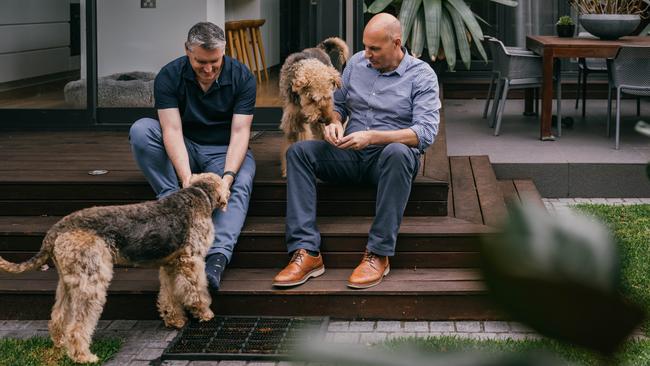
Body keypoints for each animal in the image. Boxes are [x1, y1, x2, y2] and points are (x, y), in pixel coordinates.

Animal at [0, 174, 228, 364]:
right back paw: (83, 356)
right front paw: (205, 313)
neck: (199, 194)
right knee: (77, 326)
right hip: (92, 281)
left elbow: (169, 296)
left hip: (68, 282)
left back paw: (60, 343)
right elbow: (197, 291)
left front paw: (175, 320)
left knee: (58, 316)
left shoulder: (170, 264)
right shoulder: (191, 260)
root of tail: (54, 232)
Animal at [278, 36, 350, 177]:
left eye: (329, 97)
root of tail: (320, 47)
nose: (325, 119)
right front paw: (287, 170)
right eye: (312, 98)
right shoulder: (293, 121)